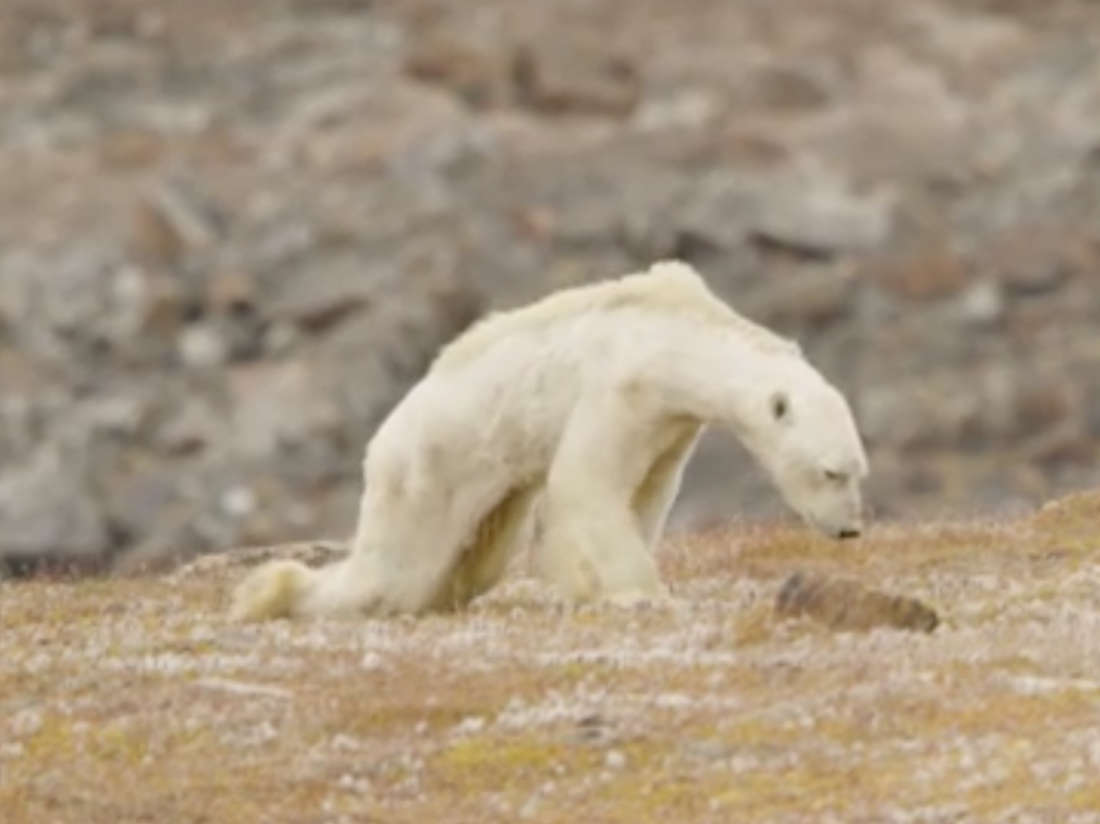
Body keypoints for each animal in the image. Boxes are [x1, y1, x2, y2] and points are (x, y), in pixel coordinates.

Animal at [229, 260, 866, 620]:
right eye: (831, 472)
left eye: (859, 471)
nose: (850, 530)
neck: (674, 332)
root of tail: (381, 442)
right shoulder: (621, 388)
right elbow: (587, 483)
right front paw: (640, 593)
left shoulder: (670, 421)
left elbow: (646, 492)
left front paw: (581, 581)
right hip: (427, 468)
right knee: (393, 572)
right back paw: (272, 592)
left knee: (472, 561)